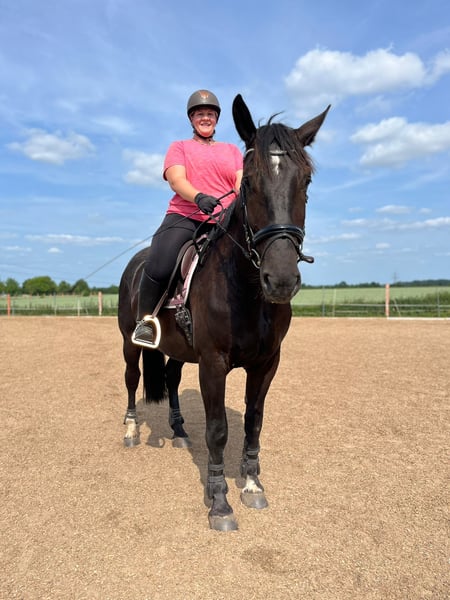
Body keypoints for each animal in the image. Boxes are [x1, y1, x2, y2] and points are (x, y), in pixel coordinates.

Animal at [118, 94, 329, 531]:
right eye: (249, 183)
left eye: (306, 181)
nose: (280, 280)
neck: (245, 290)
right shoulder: (213, 363)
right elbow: (218, 430)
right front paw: (219, 502)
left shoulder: (266, 363)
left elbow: (253, 421)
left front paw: (252, 485)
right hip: (130, 342)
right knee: (131, 378)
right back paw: (129, 430)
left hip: (181, 350)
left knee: (170, 376)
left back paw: (179, 430)